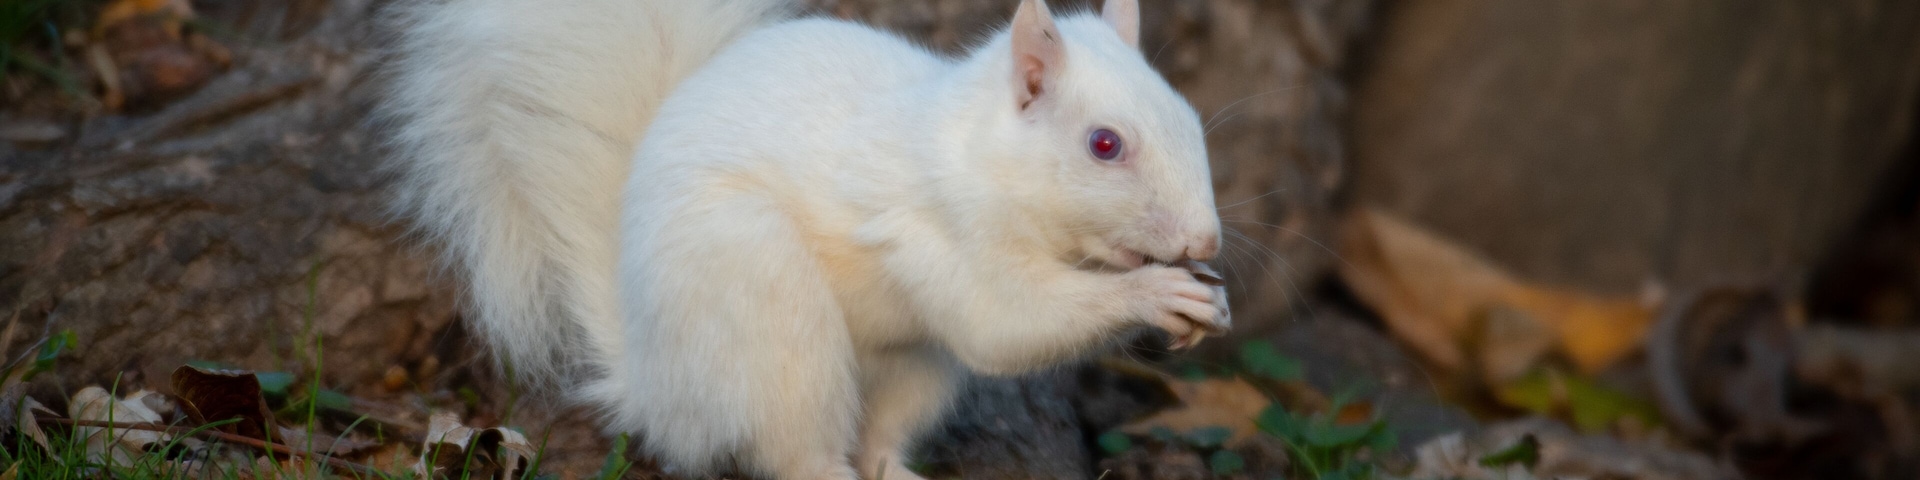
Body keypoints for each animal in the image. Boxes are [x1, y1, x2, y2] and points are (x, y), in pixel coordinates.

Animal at [383, 0, 1229, 478]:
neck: (974, 156)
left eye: (1191, 116)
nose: (1205, 241)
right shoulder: (936, 233)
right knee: (795, 452)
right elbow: (1004, 327)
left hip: (914, 367)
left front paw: (1205, 306)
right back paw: (827, 470)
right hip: (767, 315)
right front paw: (1158, 293)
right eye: (1104, 145)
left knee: (882, 439)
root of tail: (654, 385)